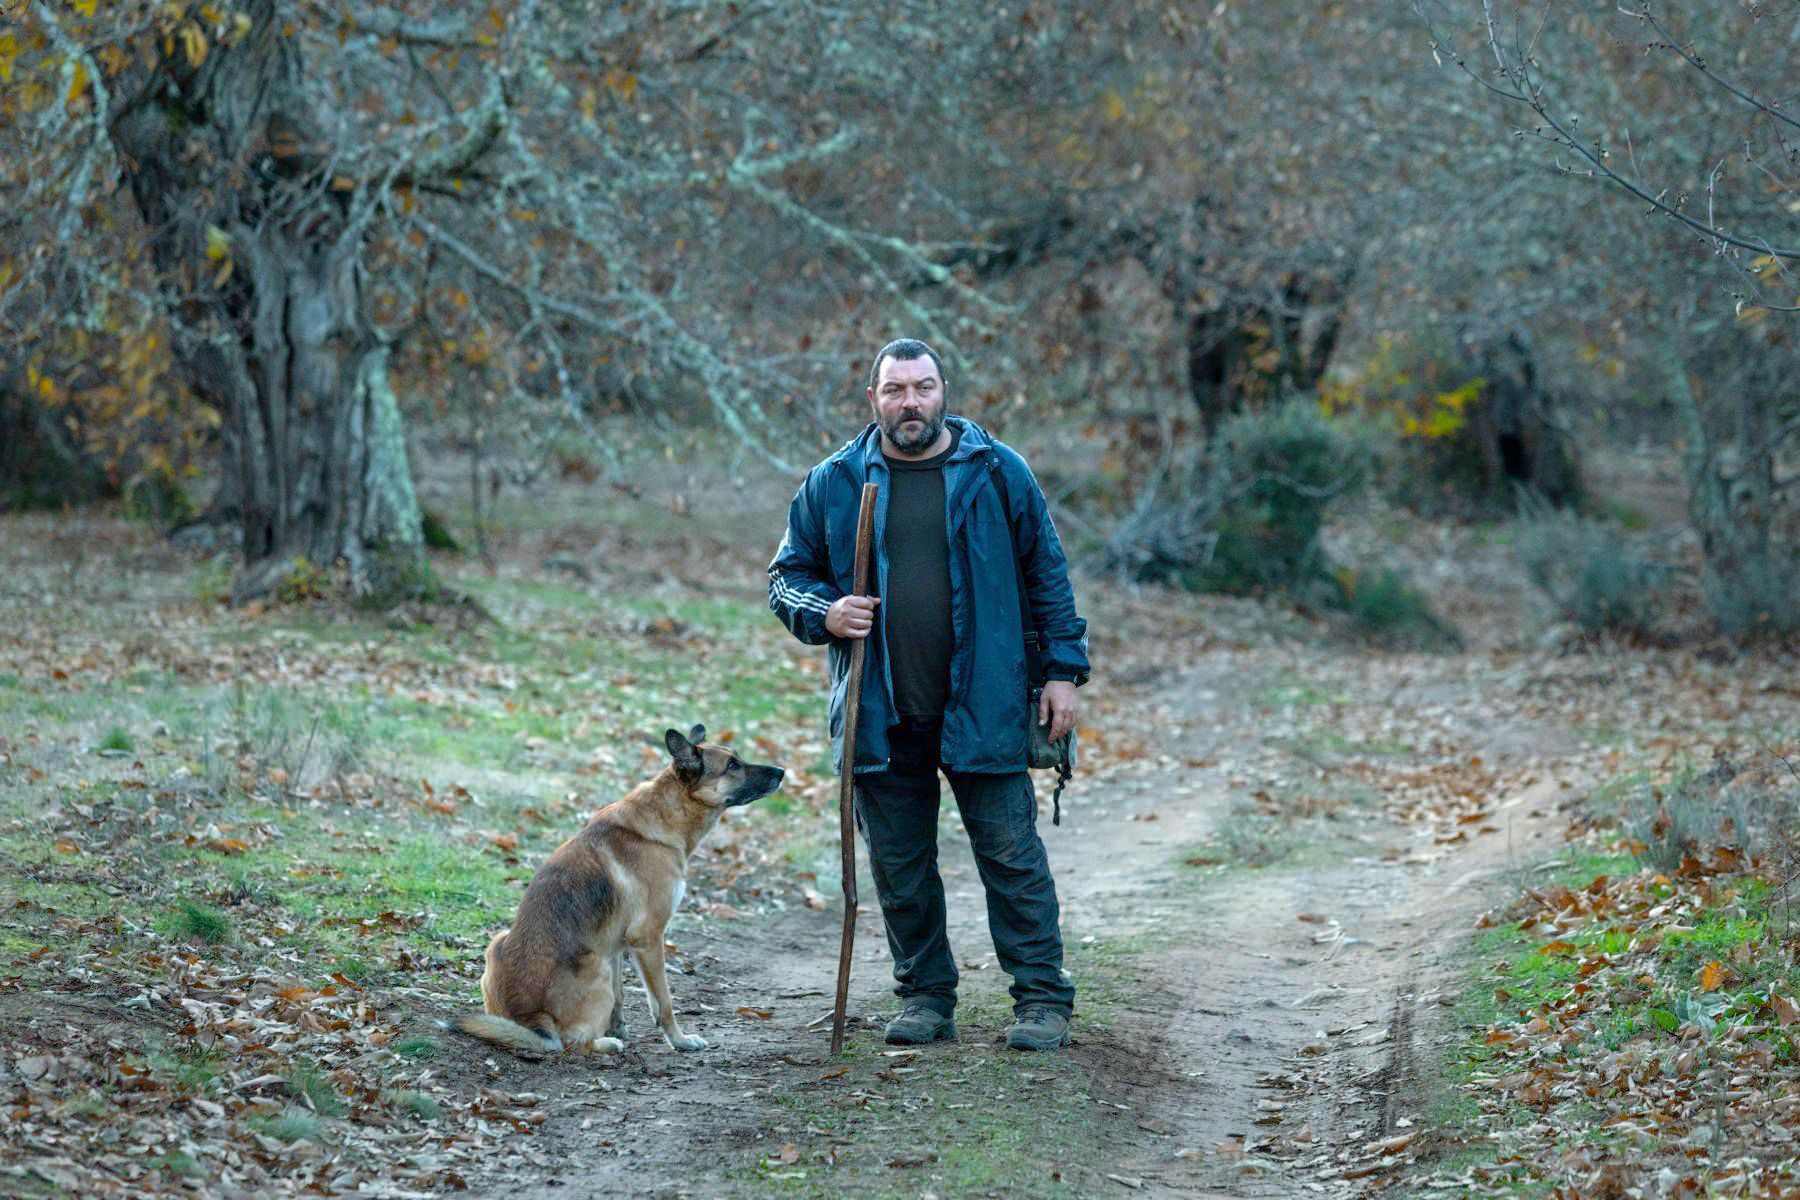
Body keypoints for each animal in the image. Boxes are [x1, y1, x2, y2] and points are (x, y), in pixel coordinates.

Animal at [441, 726, 781, 1057]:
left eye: (737, 758)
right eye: (732, 765)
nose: (782, 771)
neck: (667, 816)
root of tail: (530, 1018)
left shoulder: (617, 944)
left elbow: (620, 998)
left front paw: (619, 1029)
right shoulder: (648, 938)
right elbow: (663, 1003)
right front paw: (680, 1041)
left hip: (511, 943)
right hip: (597, 966)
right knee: (573, 1043)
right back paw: (606, 1045)